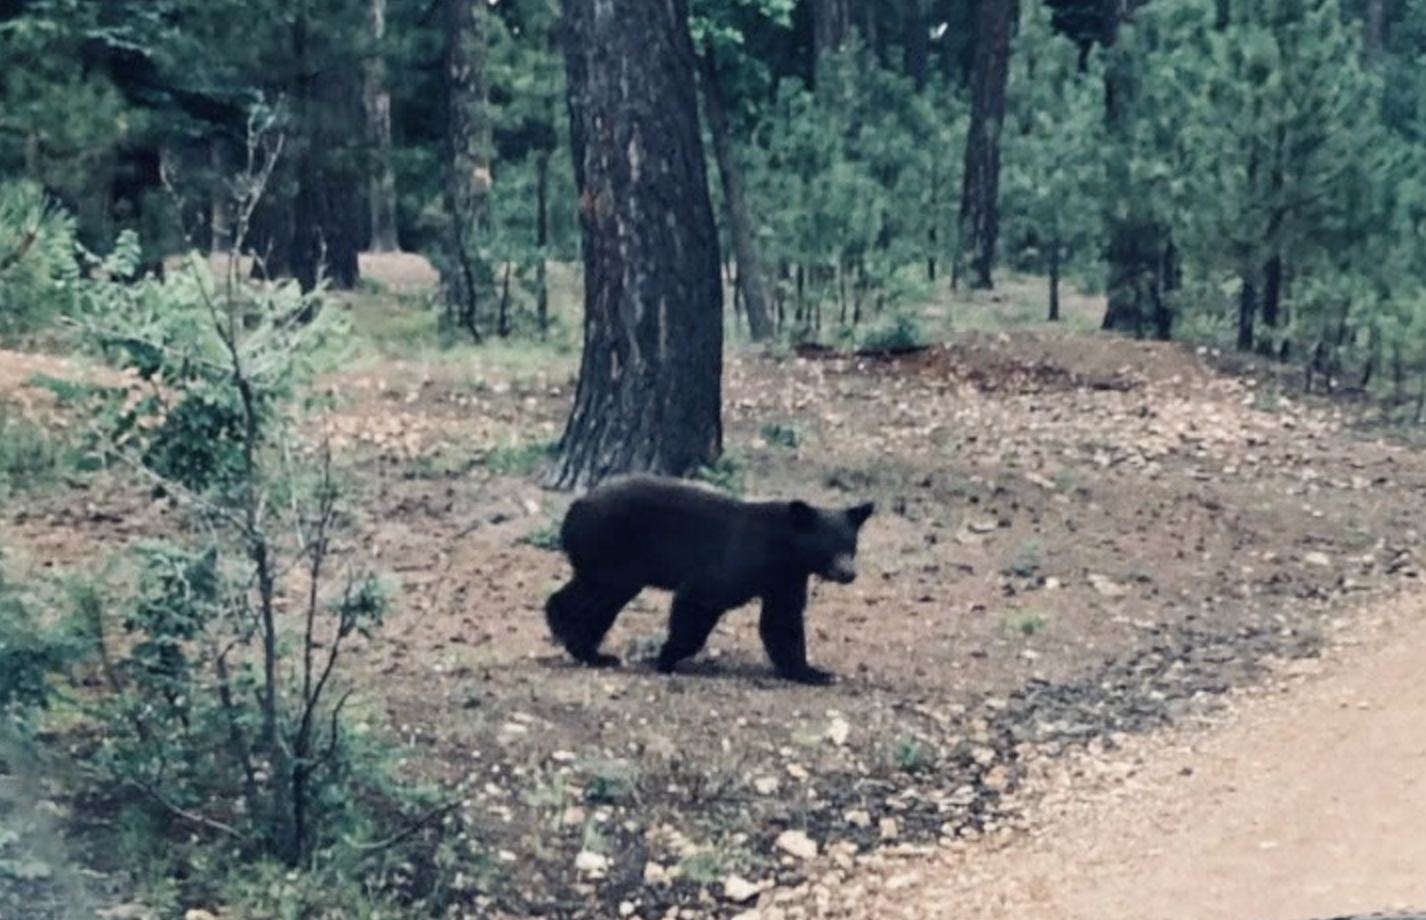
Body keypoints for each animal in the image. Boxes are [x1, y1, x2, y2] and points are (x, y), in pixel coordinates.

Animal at [544, 474, 874, 685]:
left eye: (850, 545)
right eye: (828, 546)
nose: (849, 573)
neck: (783, 550)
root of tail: (574, 508)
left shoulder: (786, 578)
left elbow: (783, 620)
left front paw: (813, 672)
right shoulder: (739, 562)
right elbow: (701, 597)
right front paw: (667, 657)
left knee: (597, 596)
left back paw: (591, 651)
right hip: (612, 547)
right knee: (598, 594)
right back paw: (572, 635)